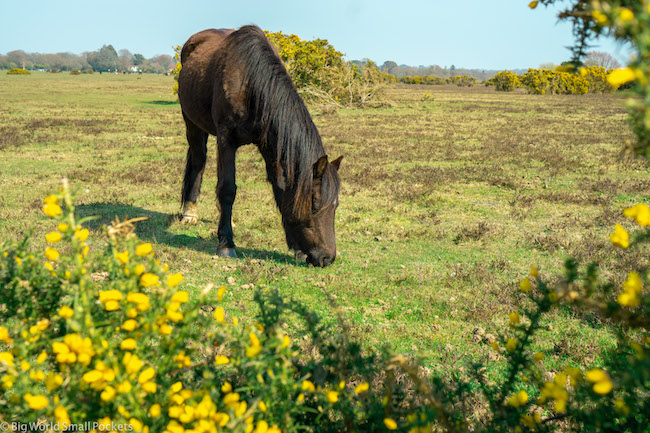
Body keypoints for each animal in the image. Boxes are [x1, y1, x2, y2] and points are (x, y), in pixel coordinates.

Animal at [175, 25, 342, 266]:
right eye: (315, 205)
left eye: (336, 205)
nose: (327, 258)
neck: (250, 82)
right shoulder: (226, 140)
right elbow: (227, 188)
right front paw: (226, 244)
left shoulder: (272, 145)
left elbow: (280, 190)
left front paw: (296, 247)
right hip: (192, 123)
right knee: (198, 160)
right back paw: (190, 212)